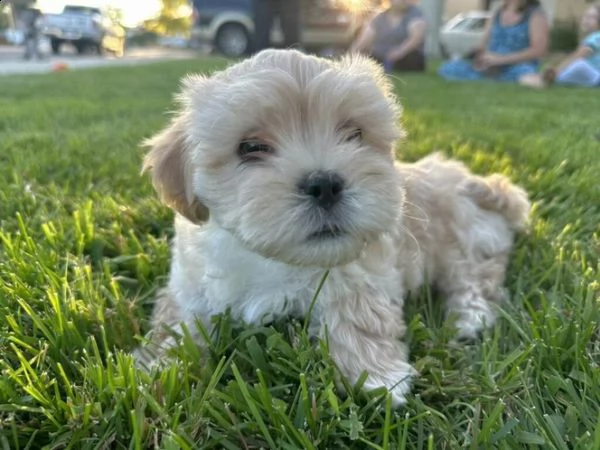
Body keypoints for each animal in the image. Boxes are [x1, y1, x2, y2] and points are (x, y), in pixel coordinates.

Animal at [135, 48, 528, 404]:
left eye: (353, 134)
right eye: (251, 146)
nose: (325, 183)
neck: (273, 257)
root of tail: (473, 180)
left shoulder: (359, 271)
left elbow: (359, 317)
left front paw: (378, 380)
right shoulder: (189, 282)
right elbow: (177, 324)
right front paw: (159, 369)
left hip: (464, 240)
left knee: (476, 280)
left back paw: (469, 318)